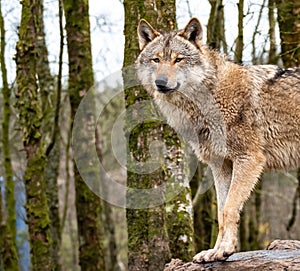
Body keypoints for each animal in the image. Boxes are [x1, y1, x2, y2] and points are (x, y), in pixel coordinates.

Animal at [137, 17, 300, 264]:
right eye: (156, 60)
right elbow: (221, 212)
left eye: (178, 59)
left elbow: (229, 208)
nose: (160, 82)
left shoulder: (248, 159)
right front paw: (216, 251)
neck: (211, 96)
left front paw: (225, 250)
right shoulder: (220, 165)